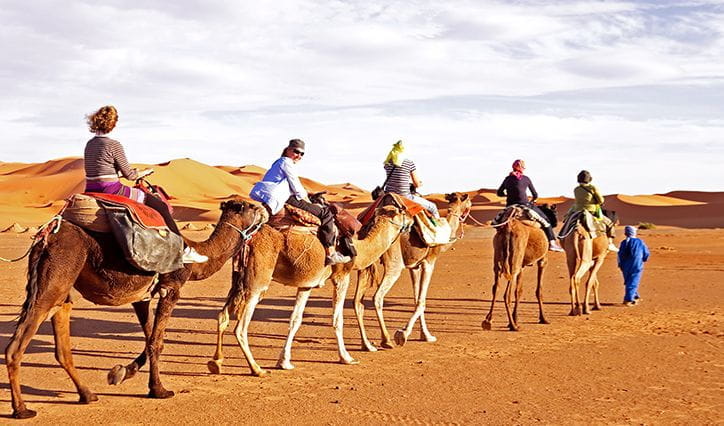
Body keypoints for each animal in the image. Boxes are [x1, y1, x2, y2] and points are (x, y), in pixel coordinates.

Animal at [3, 200, 266, 420]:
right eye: (251, 206)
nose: (265, 210)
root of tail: (46, 236)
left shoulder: (142, 297)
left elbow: (150, 339)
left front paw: (121, 372)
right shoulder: (171, 289)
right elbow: (157, 342)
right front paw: (159, 390)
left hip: (63, 286)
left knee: (62, 339)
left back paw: (87, 394)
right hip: (57, 275)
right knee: (18, 343)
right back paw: (22, 409)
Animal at [206, 201, 410, 376]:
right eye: (402, 212)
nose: (410, 219)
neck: (359, 248)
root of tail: (248, 238)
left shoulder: (306, 285)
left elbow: (295, 320)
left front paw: (284, 362)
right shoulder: (341, 275)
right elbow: (338, 319)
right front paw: (346, 357)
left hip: (238, 279)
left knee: (222, 316)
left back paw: (216, 362)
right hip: (257, 280)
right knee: (240, 327)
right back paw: (257, 369)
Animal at [352, 192, 476, 350]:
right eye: (469, 202)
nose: (469, 210)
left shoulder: (414, 266)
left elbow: (416, 298)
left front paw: (426, 335)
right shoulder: (429, 262)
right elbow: (422, 301)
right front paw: (403, 334)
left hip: (366, 262)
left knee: (357, 302)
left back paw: (367, 345)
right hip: (394, 262)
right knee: (377, 297)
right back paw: (386, 340)